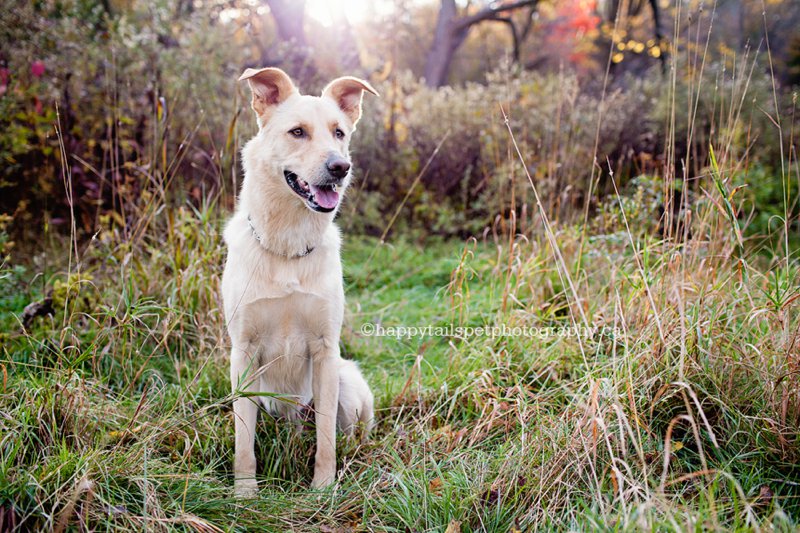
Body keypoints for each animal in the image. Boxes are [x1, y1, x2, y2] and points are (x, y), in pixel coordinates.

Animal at [222, 67, 378, 494]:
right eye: (297, 132)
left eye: (339, 132)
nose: (340, 168)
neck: (287, 249)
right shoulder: (243, 354)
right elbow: (244, 442)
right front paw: (245, 494)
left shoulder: (325, 351)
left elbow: (326, 438)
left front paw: (323, 489)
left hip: (346, 383)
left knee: (346, 432)